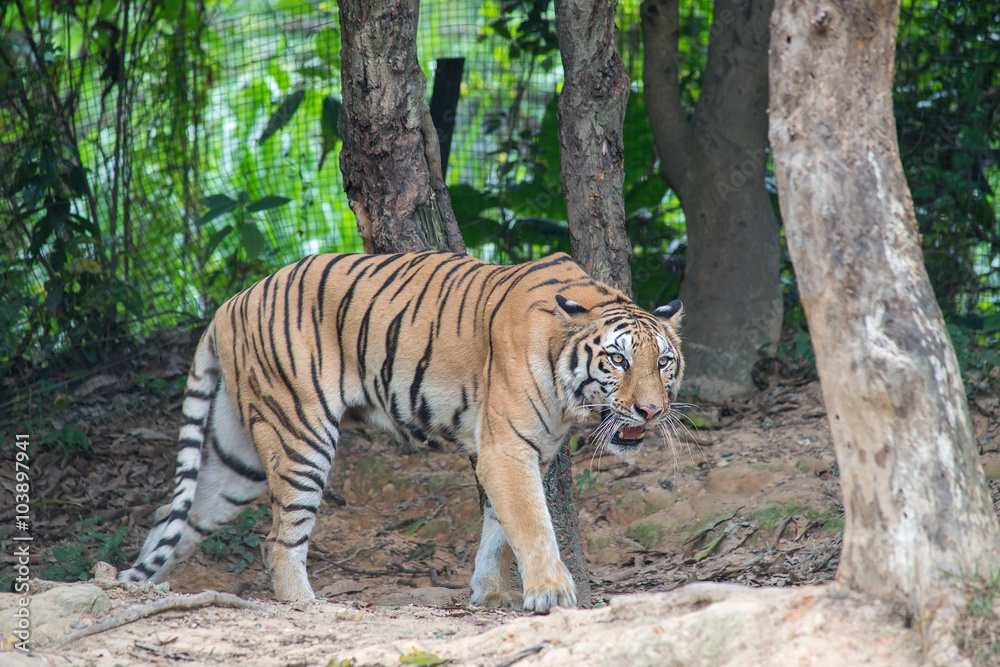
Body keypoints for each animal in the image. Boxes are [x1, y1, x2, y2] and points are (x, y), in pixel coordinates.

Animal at [118, 251, 684, 613]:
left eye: (664, 361)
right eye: (617, 359)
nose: (652, 410)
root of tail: (229, 304)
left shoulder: (527, 450)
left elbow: (498, 529)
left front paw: (489, 594)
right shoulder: (508, 448)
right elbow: (530, 523)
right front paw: (551, 593)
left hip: (240, 459)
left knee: (173, 519)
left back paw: (139, 590)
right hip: (301, 434)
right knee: (279, 538)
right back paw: (308, 605)